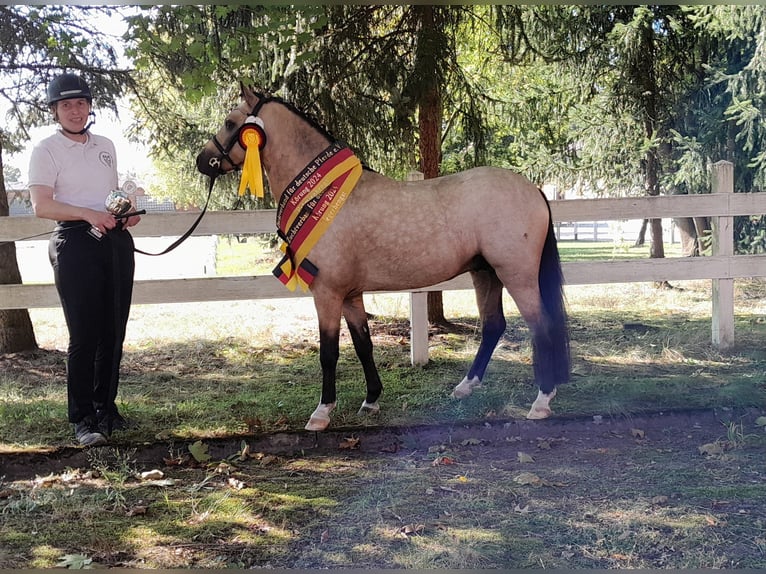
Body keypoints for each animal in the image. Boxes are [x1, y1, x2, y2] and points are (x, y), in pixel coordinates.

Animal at [198, 82, 568, 432]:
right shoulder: (350, 295)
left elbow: (329, 352)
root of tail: (534, 190)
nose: (203, 161)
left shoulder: (327, 293)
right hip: (485, 273)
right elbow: (363, 344)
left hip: (516, 274)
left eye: (230, 123)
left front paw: (322, 413)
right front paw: (372, 399)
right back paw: (465, 387)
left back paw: (541, 401)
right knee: (494, 325)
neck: (324, 194)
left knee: (541, 326)